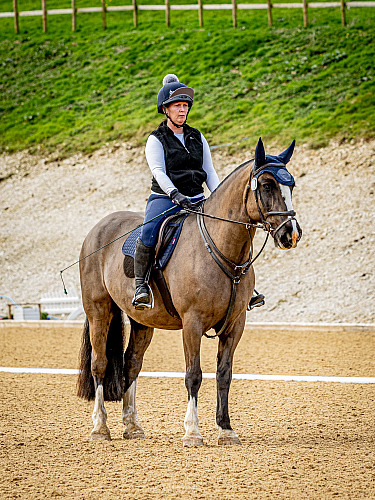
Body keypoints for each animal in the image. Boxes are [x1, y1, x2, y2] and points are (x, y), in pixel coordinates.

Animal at [76, 137, 302, 446]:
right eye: (267, 185)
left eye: (292, 185)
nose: (291, 234)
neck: (220, 247)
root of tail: (97, 230)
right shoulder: (192, 323)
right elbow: (193, 374)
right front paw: (192, 432)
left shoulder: (235, 325)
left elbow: (224, 374)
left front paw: (226, 430)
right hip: (99, 310)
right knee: (99, 364)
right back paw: (100, 428)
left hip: (142, 321)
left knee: (131, 363)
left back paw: (132, 426)